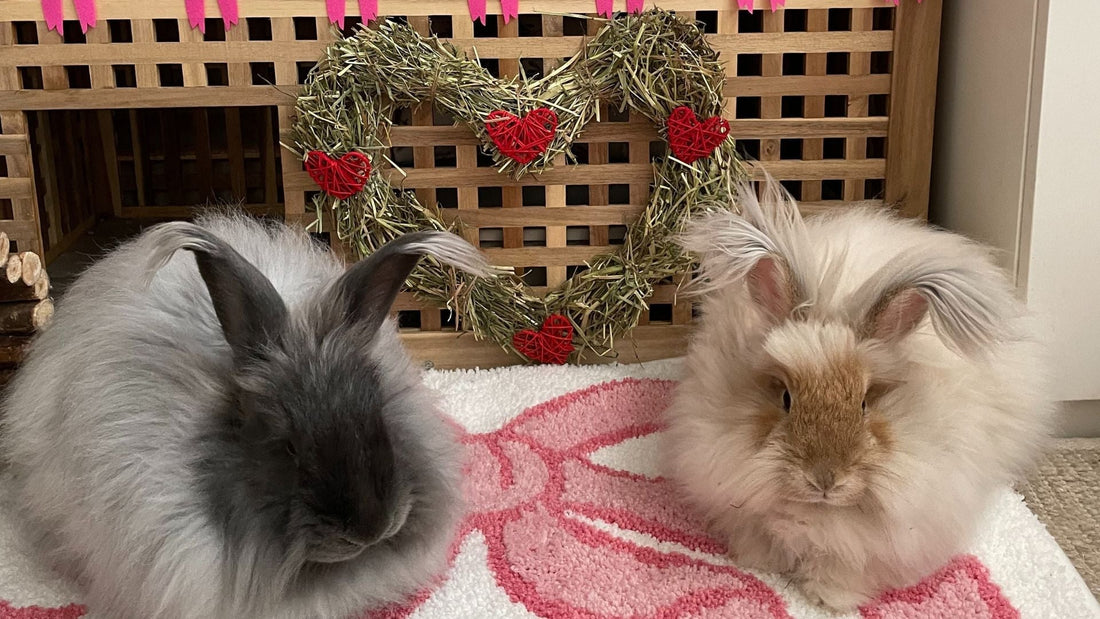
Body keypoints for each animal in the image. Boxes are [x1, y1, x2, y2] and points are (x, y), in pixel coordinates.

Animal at [663, 177, 1056, 611]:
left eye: (866, 402)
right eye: (785, 399)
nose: (824, 480)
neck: (818, 516)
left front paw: (827, 597)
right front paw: (765, 564)